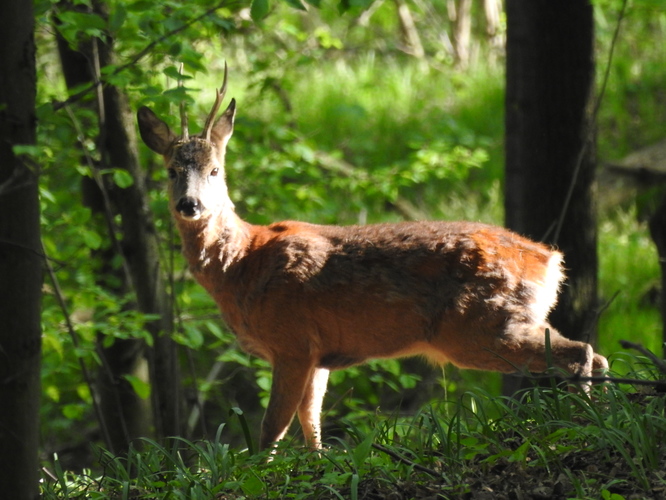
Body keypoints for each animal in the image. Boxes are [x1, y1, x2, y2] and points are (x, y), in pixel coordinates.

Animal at [139, 65, 608, 450]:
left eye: (215, 169)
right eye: (170, 171)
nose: (189, 204)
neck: (242, 264)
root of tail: (551, 260)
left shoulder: (292, 340)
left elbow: (272, 428)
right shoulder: (319, 353)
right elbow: (312, 424)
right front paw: (317, 465)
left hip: (481, 325)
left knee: (579, 351)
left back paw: (585, 421)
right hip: (507, 318)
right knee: (592, 352)